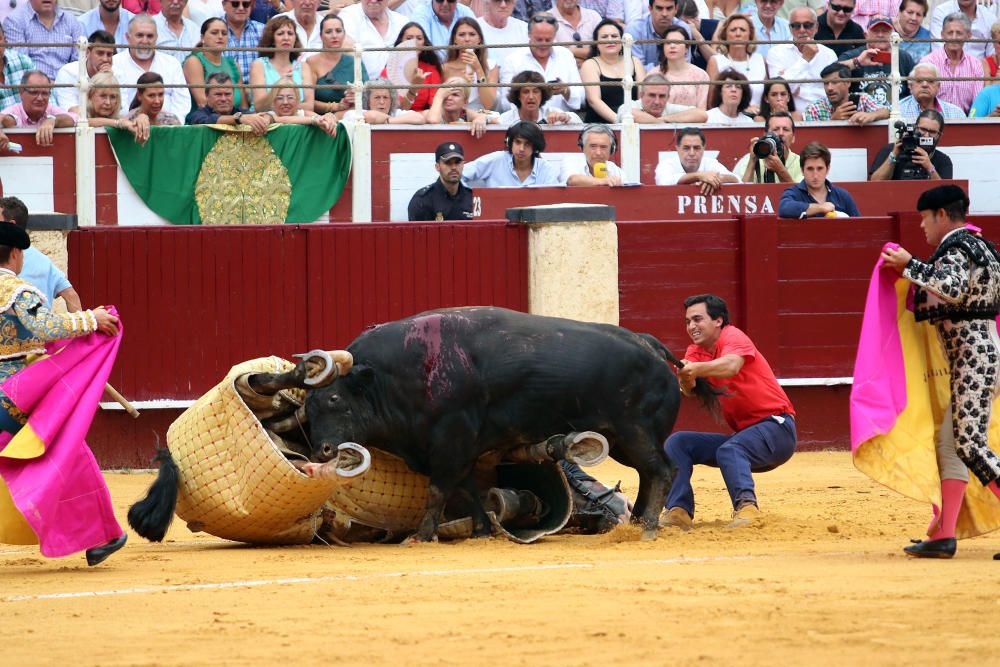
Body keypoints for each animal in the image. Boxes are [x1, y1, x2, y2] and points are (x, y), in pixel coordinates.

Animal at [249, 308, 712, 544]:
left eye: (333, 400)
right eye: (308, 409)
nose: (324, 451)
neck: (395, 377)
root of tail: (648, 343)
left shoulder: (450, 443)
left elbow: (440, 489)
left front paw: (422, 536)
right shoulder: (462, 450)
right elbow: (470, 490)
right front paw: (480, 529)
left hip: (634, 432)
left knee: (661, 469)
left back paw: (647, 527)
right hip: (620, 440)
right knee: (649, 473)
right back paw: (637, 523)